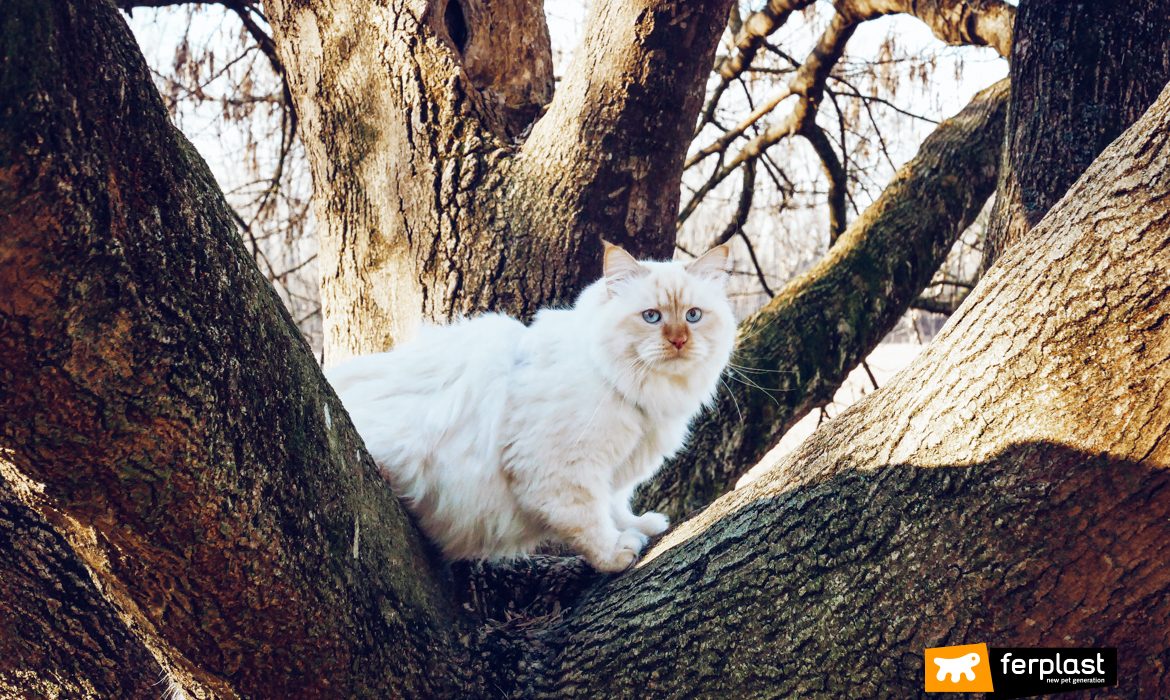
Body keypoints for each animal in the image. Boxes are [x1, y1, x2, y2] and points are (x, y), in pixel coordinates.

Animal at [327, 244, 730, 573]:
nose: (679, 341)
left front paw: (638, 526)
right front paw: (616, 553)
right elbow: (589, 521)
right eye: (652, 317)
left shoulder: (613, 472)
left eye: (693, 316)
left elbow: (616, 507)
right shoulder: (562, 471)